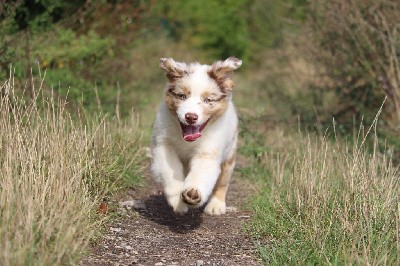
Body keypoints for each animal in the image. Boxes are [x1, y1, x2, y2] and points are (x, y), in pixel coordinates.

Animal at [152, 57, 242, 215]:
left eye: (207, 100)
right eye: (182, 96)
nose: (190, 117)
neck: (188, 141)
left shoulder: (208, 153)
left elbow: (201, 173)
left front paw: (193, 193)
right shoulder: (163, 145)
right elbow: (170, 170)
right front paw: (178, 202)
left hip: (230, 155)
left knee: (223, 182)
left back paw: (216, 205)